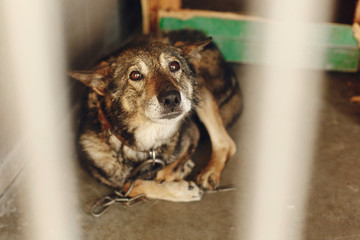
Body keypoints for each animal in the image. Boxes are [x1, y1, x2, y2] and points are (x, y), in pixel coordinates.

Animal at [69, 30, 242, 202]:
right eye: (135, 75)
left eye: (174, 66)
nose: (172, 98)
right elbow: (130, 185)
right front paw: (181, 187)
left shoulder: (193, 133)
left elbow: (160, 175)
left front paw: (177, 179)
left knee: (226, 142)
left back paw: (210, 172)